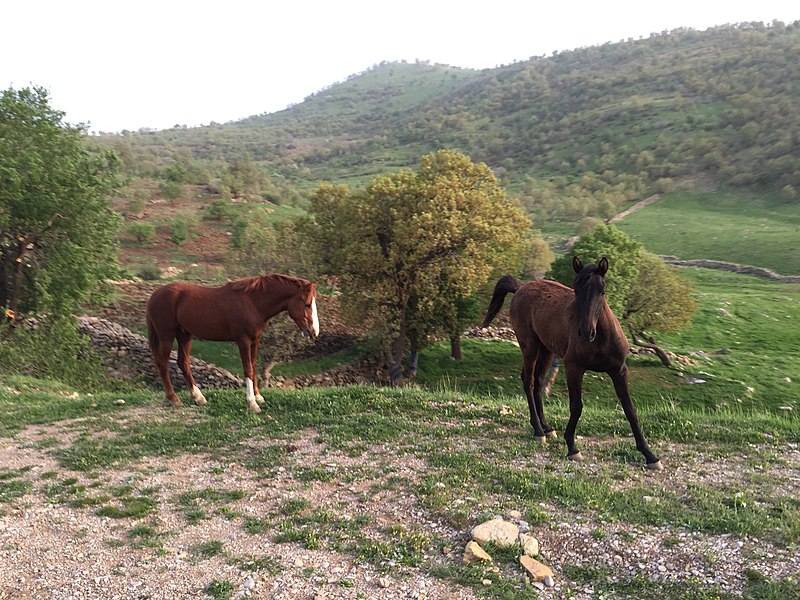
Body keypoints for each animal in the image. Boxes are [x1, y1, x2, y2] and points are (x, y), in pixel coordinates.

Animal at [147, 274, 318, 410]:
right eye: (307, 304)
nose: (314, 331)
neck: (252, 303)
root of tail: (154, 295)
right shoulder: (243, 340)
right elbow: (247, 369)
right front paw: (252, 403)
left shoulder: (255, 340)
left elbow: (253, 367)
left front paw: (258, 397)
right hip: (166, 336)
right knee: (163, 363)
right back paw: (173, 398)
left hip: (184, 335)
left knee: (183, 363)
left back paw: (198, 397)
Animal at [482, 256, 664, 468]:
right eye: (576, 290)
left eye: (602, 291)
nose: (586, 332)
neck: (600, 339)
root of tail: (520, 288)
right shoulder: (574, 368)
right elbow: (576, 406)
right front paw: (571, 447)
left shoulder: (619, 371)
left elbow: (630, 410)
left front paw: (649, 455)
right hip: (530, 347)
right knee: (529, 382)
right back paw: (538, 430)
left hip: (547, 350)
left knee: (538, 383)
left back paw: (546, 428)